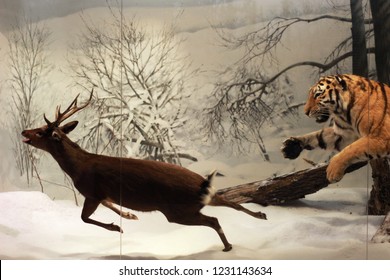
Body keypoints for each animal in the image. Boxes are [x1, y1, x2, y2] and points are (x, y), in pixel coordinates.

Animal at [20, 91, 266, 253]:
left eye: (41, 132)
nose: (24, 131)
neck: (77, 167)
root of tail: (201, 184)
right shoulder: (104, 194)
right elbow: (110, 206)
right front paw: (130, 215)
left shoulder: (92, 192)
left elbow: (84, 218)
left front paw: (118, 227)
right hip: (201, 198)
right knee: (230, 201)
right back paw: (260, 216)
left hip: (177, 210)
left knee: (214, 219)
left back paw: (228, 246)